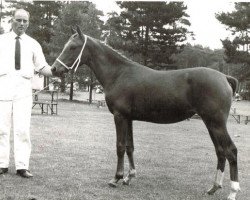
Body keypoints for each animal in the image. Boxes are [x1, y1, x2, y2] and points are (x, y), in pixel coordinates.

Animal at [50, 25, 240, 199]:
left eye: (72, 47)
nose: (54, 69)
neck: (119, 74)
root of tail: (224, 77)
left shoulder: (119, 117)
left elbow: (120, 146)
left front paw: (116, 178)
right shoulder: (129, 118)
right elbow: (130, 147)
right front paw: (129, 177)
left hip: (216, 123)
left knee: (231, 151)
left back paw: (233, 192)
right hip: (210, 123)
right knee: (220, 152)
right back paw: (214, 187)